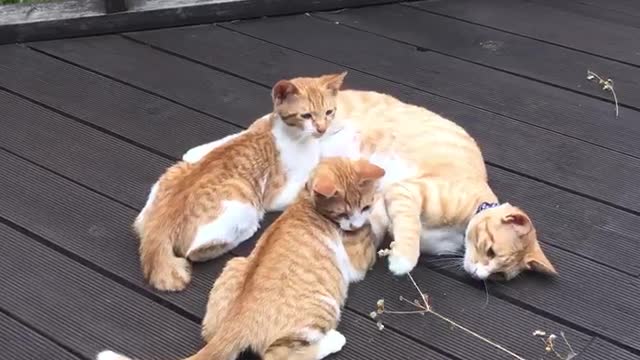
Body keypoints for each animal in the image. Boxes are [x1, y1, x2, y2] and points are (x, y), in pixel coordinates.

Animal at [97, 157, 382, 360]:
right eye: (344, 212)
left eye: (365, 206)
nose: (355, 223)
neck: (306, 203)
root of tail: (236, 323)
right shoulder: (359, 260)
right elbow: (374, 236)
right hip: (322, 308)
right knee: (278, 356)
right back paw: (333, 341)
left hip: (233, 267)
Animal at [134, 71, 344, 292]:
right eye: (306, 116)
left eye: (329, 112)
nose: (321, 128)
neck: (290, 133)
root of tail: (159, 227)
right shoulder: (277, 195)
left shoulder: (248, 130)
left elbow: (225, 140)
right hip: (245, 208)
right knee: (196, 251)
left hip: (170, 176)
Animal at [185, 87, 556, 282]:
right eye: (490, 251)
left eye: (498, 274)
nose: (478, 273)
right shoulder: (406, 192)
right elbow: (410, 235)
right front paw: (402, 261)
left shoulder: (376, 206)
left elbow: (370, 225)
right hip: (311, 130)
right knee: (253, 130)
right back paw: (196, 154)